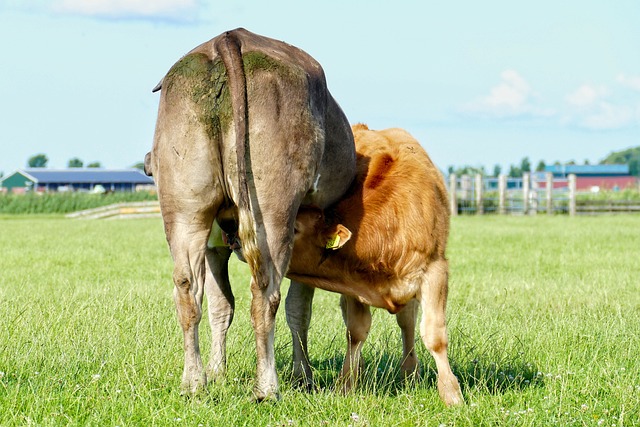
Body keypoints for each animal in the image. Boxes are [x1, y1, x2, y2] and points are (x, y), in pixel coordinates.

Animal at [144, 29, 356, 402]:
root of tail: (228, 39)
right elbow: (299, 309)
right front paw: (303, 376)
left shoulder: (213, 245)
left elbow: (220, 305)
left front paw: (216, 373)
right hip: (271, 212)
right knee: (266, 294)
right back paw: (267, 387)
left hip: (185, 208)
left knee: (187, 289)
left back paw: (193, 382)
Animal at [282, 124, 462, 408]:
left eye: (296, 228)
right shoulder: (352, 283)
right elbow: (355, 331)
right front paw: (346, 384)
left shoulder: (435, 271)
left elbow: (434, 334)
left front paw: (451, 393)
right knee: (301, 313)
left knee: (407, 321)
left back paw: (409, 371)